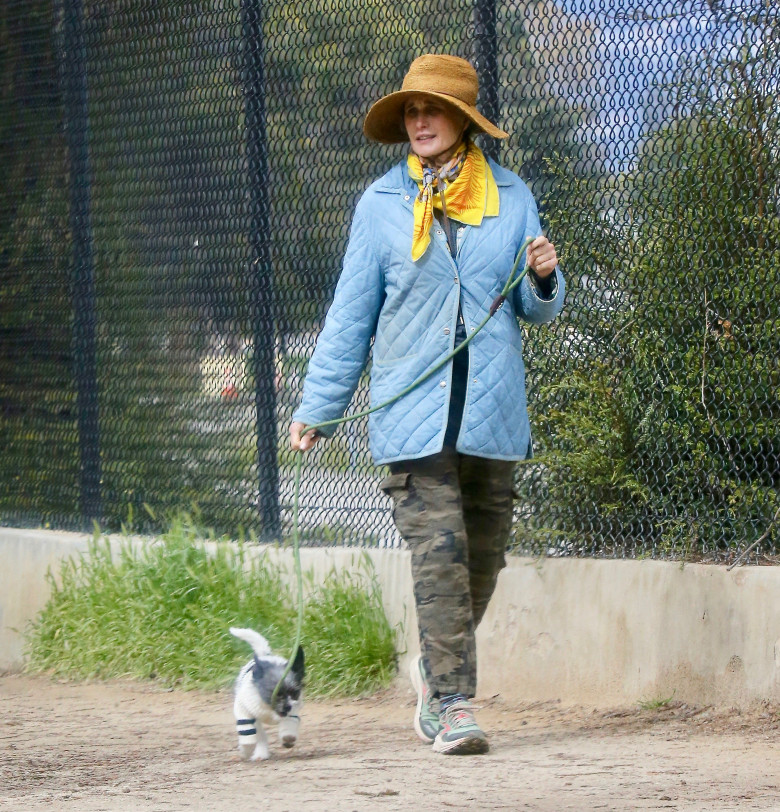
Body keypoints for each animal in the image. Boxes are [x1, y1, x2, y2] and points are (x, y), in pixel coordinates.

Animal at [229, 628, 304, 760]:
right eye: (277, 694)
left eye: (294, 692)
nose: (288, 707)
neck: (270, 709)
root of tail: (264, 656)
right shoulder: (244, 711)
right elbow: (248, 736)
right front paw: (246, 750)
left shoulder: (292, 712)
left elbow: (289, 725)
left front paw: (288, 738)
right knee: (259, 734)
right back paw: (260, 753)